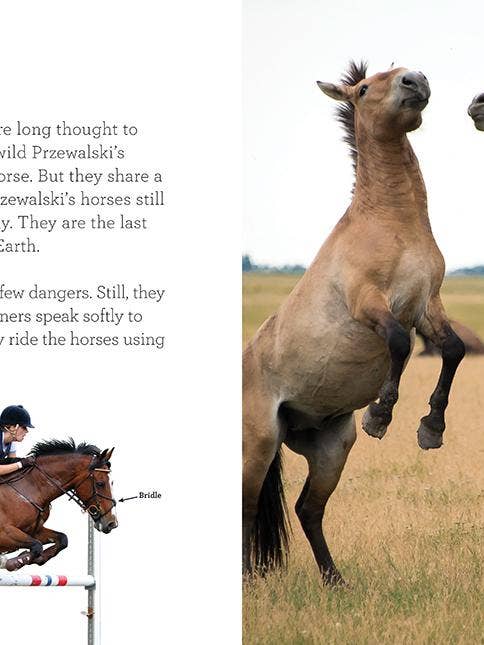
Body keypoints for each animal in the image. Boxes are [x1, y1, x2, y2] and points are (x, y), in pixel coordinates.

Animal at [0, 439, 117, 571]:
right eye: (100, 483)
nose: (112, 523)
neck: (30, 488)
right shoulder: (4, 532)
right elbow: (37, 546)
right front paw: (10, 562)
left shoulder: (34, 531)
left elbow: (62, 539)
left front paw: (36, 558)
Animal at [243, 61, 465, 585]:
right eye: (364, 88)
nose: (415, 80)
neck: (392, 222)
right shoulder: (370, 304)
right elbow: (399, 343)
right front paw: (381, 416)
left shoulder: (428, 304)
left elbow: (453, 350)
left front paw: (431, 428)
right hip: (257, 445)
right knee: (245, 509)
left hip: (330, 449)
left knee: (308, 509)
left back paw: (334, 580)